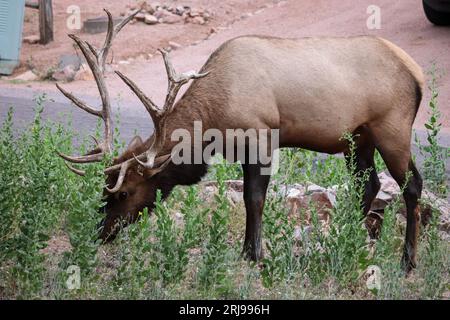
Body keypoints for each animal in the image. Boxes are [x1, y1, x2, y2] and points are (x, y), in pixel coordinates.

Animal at [58, 11, 424, 274]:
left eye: (123, 192)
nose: (101, 231)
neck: (212, 124)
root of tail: (417, 73)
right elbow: (251, 198)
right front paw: (248, 250)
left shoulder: (261, 136)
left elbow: (254, 198)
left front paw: (254, 254)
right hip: (358, 139)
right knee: (370, 183)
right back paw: (340, 242)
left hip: (391, 129)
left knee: (412, 184)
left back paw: (407, 262)